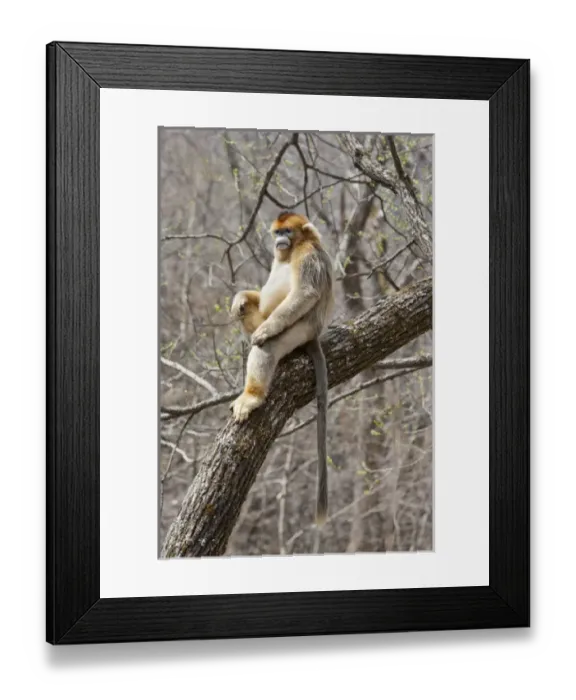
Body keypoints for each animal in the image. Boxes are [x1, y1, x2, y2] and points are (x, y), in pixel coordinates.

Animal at [229, 211, 334, 525]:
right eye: (277, 232)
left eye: (287, 231)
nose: (280, 241)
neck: (290, 253)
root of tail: (313, 336)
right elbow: (253, 297)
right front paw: (239, 298)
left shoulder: (308, 255)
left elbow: (306, 293)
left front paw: (264, 332)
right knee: (251, 311)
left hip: (298, 330)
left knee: (267, 345)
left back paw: (252, 396)